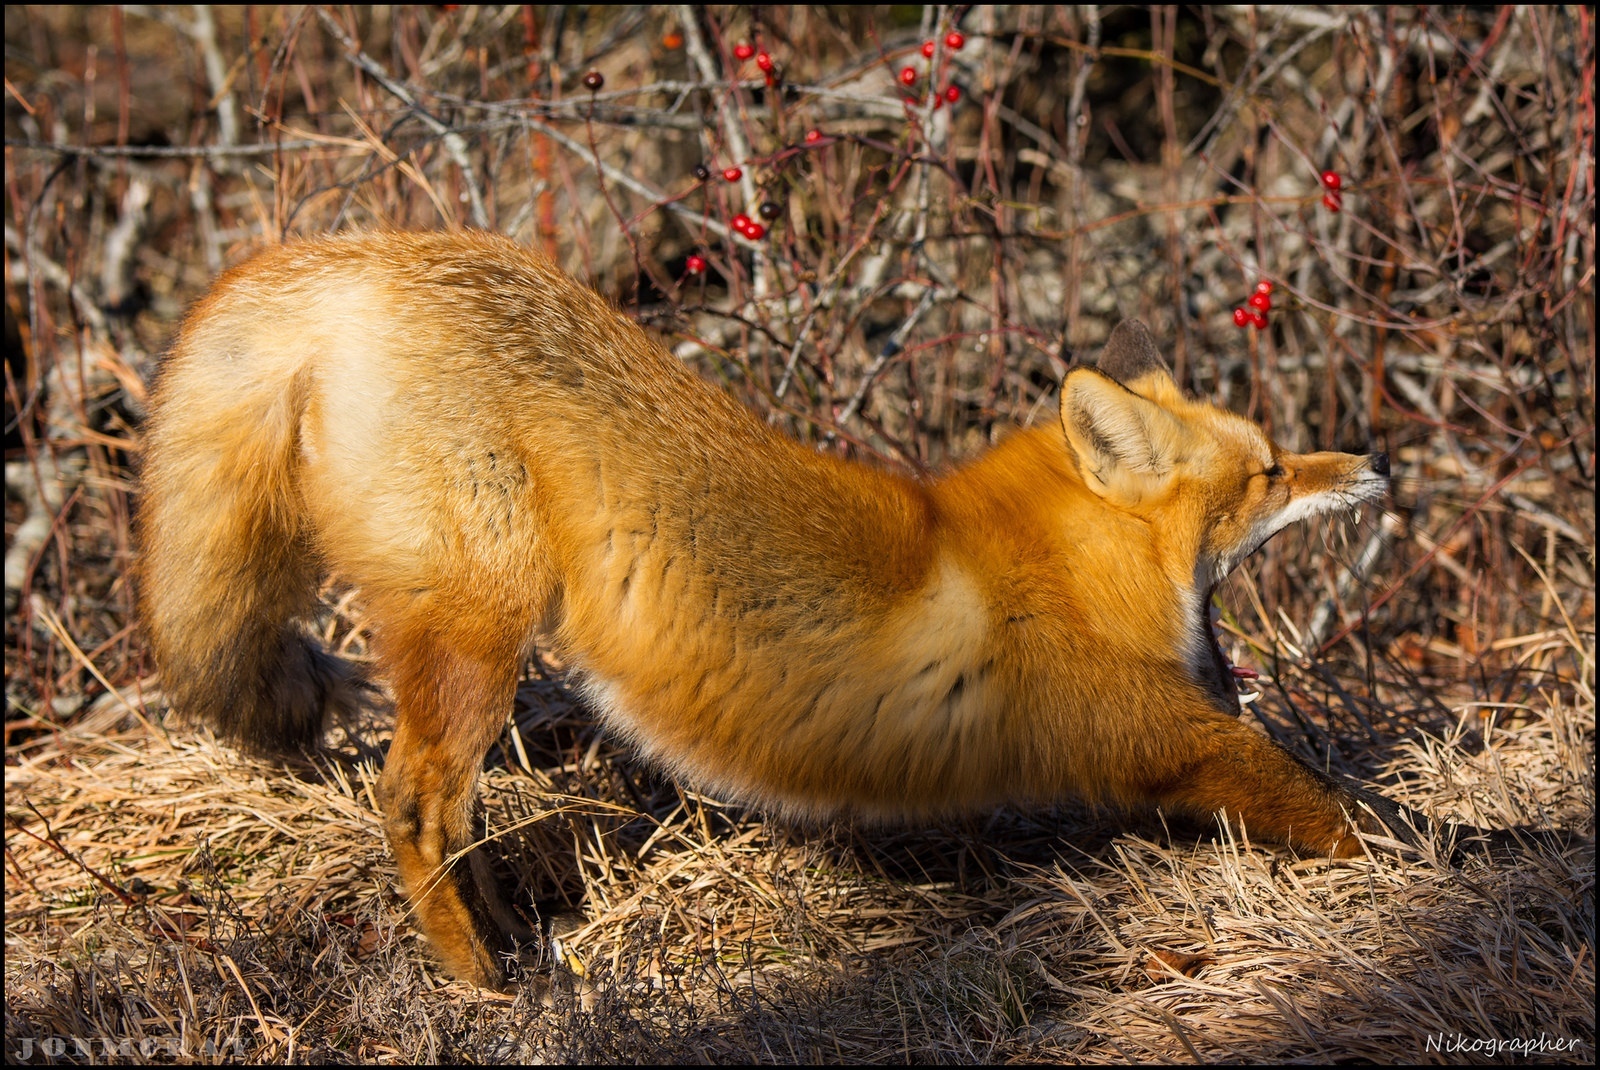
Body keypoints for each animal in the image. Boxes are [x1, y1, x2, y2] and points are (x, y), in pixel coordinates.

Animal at [144, 230, 1452, 991]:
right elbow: (1341, 809)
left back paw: (515, 932)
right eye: (1269, 472)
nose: (1381, 459)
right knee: (415, 805)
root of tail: (362, 248)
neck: (1053, 566)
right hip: (476, 631)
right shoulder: (1157, 733)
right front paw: (1453, 858)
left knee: (454, 817)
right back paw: (485, 981)